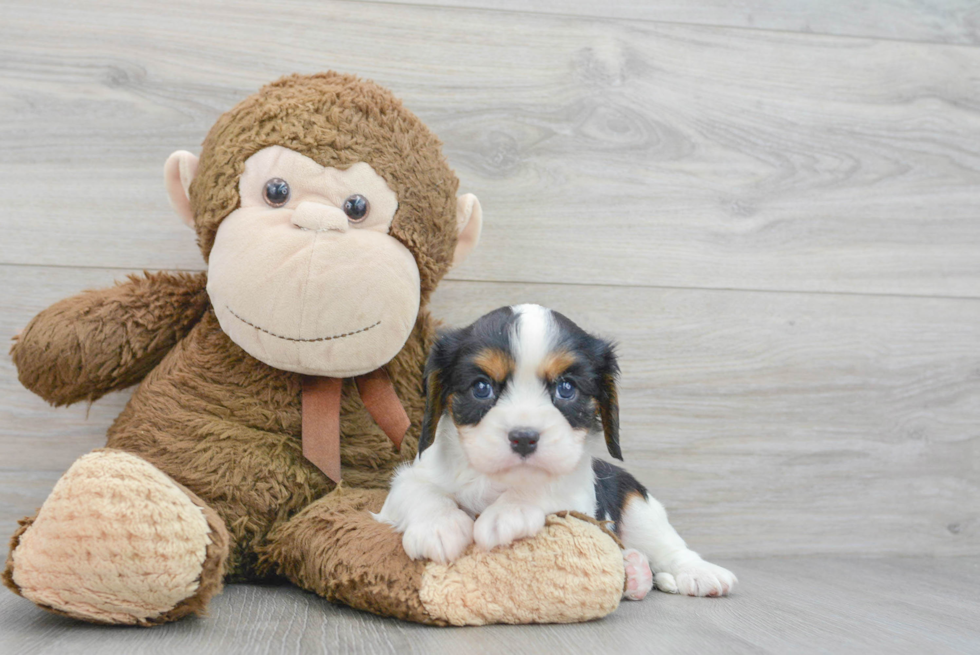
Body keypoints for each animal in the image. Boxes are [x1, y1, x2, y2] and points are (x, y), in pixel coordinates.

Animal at [376, 304, 736, 600]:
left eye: (566, 388)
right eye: (481, 387)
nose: (524, 438)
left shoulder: (579, 493)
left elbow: (545, 487)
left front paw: (508, 513)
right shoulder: (408, 480)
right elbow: (420, 491)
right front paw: (438, 526)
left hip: (639, 506)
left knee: (670, 547)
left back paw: (697, 573)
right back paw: (636, 572)